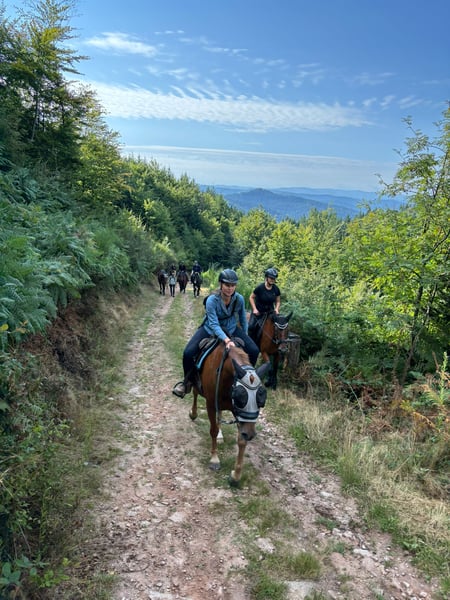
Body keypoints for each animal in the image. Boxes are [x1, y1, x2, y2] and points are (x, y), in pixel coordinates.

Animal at [189, 340, 270, 486]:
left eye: (261, 399)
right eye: (240, 397)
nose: (250, 434)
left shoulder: (236, 412)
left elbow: (241, 440)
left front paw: (236, 476)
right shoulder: (211, 404)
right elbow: (213, 430)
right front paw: (214, 459)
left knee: (220, 414)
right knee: (195, 393)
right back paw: (193, 413)